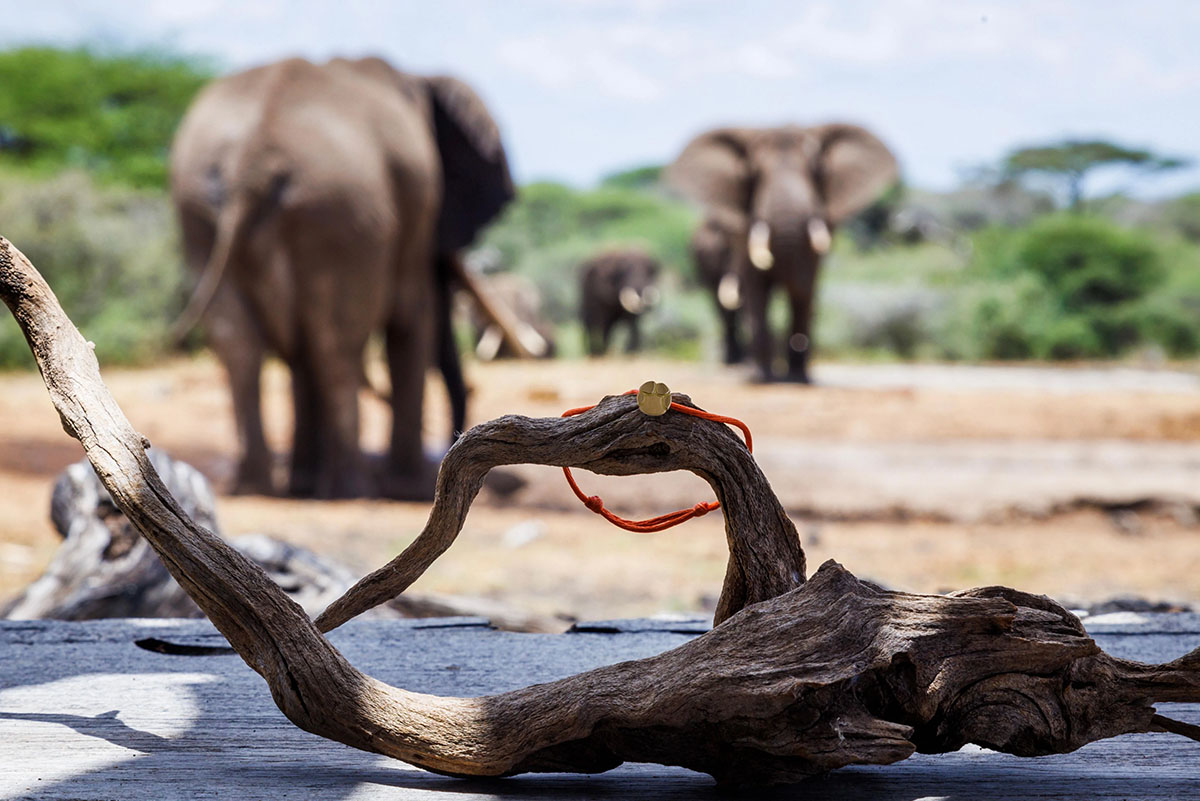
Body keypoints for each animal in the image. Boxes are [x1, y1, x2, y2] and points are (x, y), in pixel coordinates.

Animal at [168, 56, 511, 496]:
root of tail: (253, 158)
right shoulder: (419, 210)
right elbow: (414, 317)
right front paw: (409, 489)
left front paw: (304, 483)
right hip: (341, 214)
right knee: (337, 346)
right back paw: (353, 488)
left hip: (201, 211)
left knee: (241, 345)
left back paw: (257, 486)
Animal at [672, 124, 897, 381]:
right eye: (753, 174)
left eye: (817, 172)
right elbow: (755, 287)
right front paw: (761, 377)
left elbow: (803, 287)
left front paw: (798, 379)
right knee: (726, 310)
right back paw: (739, 365)